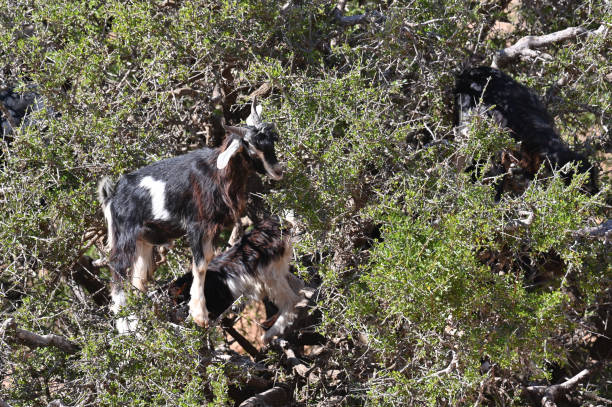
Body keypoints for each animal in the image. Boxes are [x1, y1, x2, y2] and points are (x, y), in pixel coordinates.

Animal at [98, 100, 284, 334]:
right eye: (250, 147)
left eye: (272, 141)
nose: (278, 171)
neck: (218, 173)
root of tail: (111, 196)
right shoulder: (196, 226)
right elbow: (201, 264)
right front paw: (199, 315)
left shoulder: (212, 228)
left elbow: (208, 259)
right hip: (125, 236)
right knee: (117, 275)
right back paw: (125, 329)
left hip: (143, 241)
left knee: (137, 279)